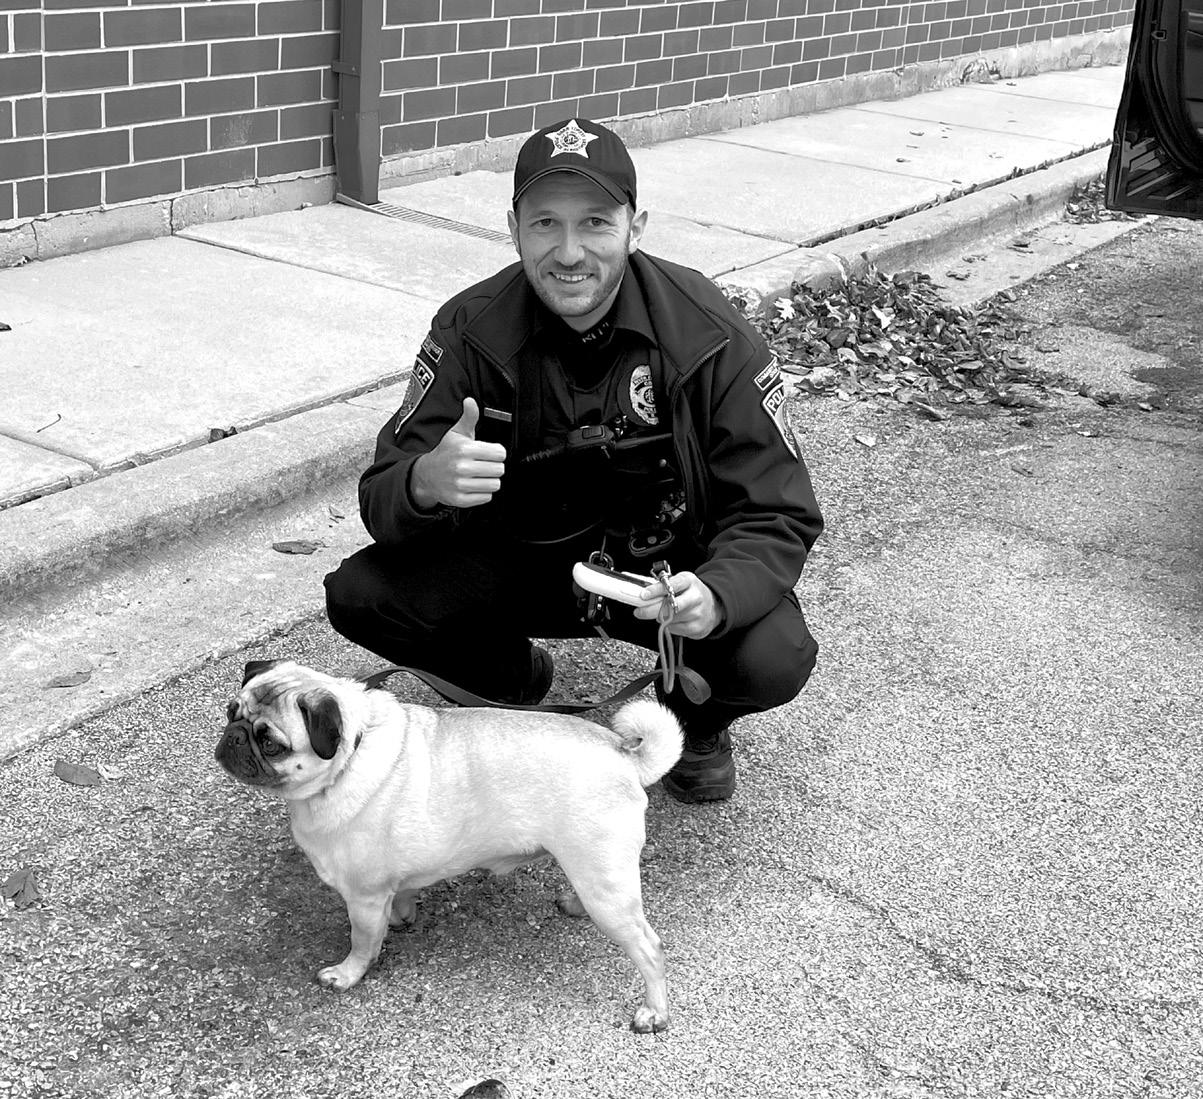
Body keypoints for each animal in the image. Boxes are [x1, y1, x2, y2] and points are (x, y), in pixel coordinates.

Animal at [214, 659, 683, 1033]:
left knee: (650, 948)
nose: (233, 736)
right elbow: (400, 899)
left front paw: (348, 974)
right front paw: (401, 917)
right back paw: (575, 904)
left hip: (604, 882)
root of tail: (624, 756)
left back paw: (655, 1013)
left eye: (271, 743)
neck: (350, 755)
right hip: (596, 874)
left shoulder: (363, 897)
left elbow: (362, 942)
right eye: (231, 711)